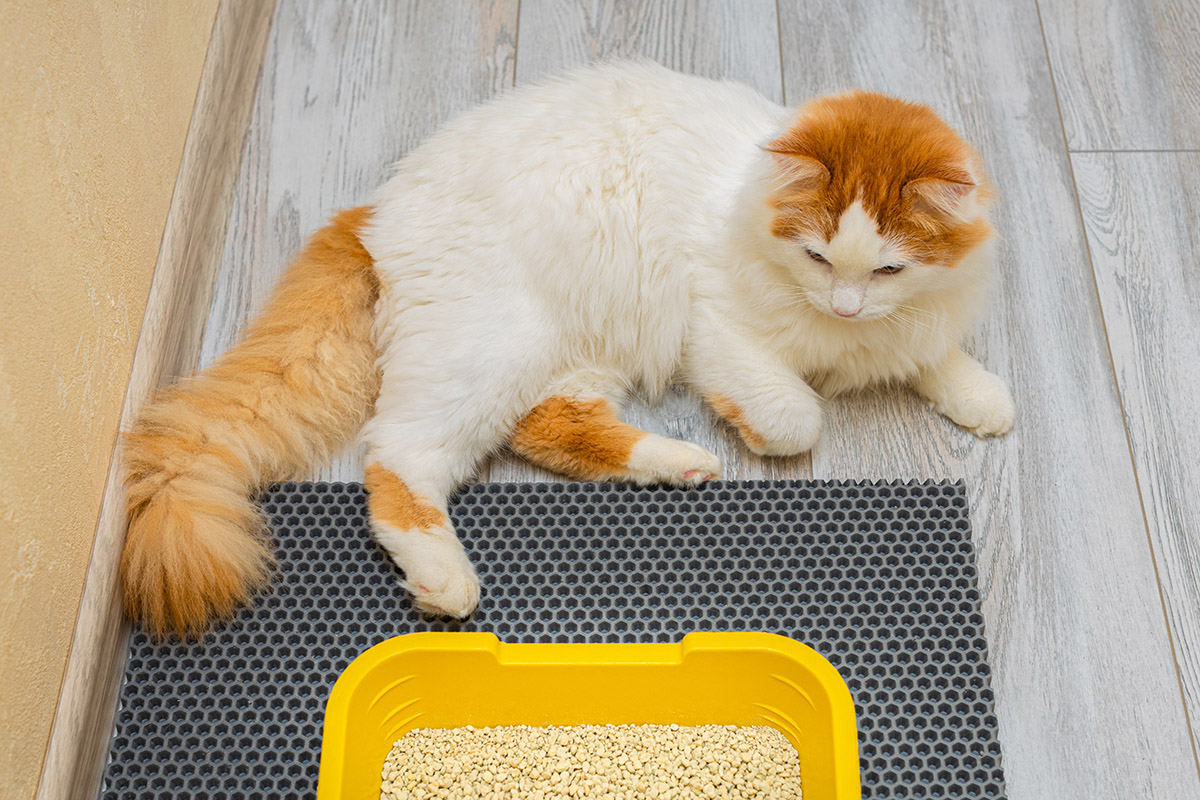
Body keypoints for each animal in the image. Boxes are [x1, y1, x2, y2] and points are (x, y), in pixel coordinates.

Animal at [119, 61, 1012, 638]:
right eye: (820, 257)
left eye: (888, 268)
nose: (844, 303)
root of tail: (377, 208)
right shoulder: (719, 328)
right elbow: (797, 416)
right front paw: (756, 427)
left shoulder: (914, 317)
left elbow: (935, 355)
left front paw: (984, 401)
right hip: (491, 348)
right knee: (399, 461)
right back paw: (445, 579)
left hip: (575, 353)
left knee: (545, 426)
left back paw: (678, 463)